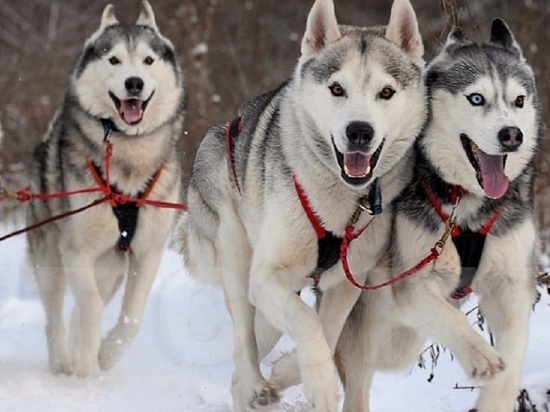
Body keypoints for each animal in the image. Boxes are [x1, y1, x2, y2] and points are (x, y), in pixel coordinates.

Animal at [26, 1, 185, 378]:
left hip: (112, 268)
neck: (129, 156)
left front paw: (107, 353)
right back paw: (63, 360)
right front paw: (85, 359)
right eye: (113, 60)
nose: (134, 83)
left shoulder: (147, 251)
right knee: (55, 315)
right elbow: (91, 304)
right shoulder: (77, 249)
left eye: (148, 60)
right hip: (50, 259)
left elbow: (132, 317)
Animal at [177, 0, 426, 408]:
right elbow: (310, 325)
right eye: (337, 88)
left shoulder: (345, 286)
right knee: (243, 341)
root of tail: (220, 130)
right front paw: (320, 383)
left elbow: (327, 330)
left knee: (245, 361)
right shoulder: (266, 277)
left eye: (386, 92)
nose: (359, 131)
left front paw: (289, 372)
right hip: (237, 259)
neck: (340, 204)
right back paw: (255, 383)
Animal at [338, 17, 540, 410]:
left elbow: (515, 349)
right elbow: (449, 318)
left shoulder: (511, 284)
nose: (512, 135)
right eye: (476, 98)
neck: (470, 206)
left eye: (519, 100)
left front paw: (495, 398)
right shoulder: (413, 285)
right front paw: (479, 356)